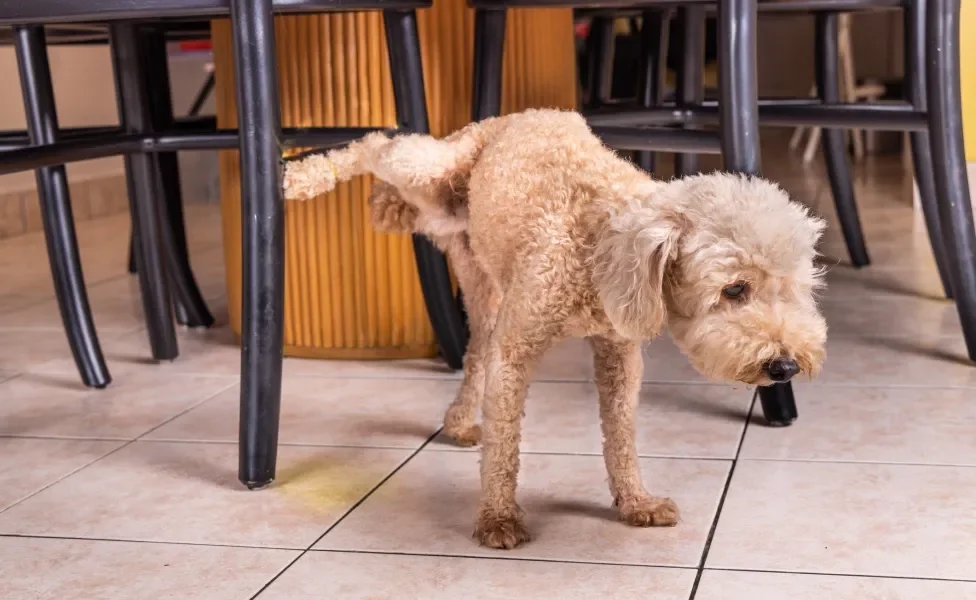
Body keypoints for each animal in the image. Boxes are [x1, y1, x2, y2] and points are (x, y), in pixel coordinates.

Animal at [280, 108, 824, 548]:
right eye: (735, 289)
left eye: (794, 288)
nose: (785, 366)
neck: (599, 241)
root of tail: (510, 115)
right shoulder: (517, 348)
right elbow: (505, 444)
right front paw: (498, 518)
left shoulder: (618, 354)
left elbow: (620, 435)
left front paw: (635, 502)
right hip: (431, 174)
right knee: (378, 143)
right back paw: (302, 176)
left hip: (475, 274)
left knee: (473, 350)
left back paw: (457, 420)